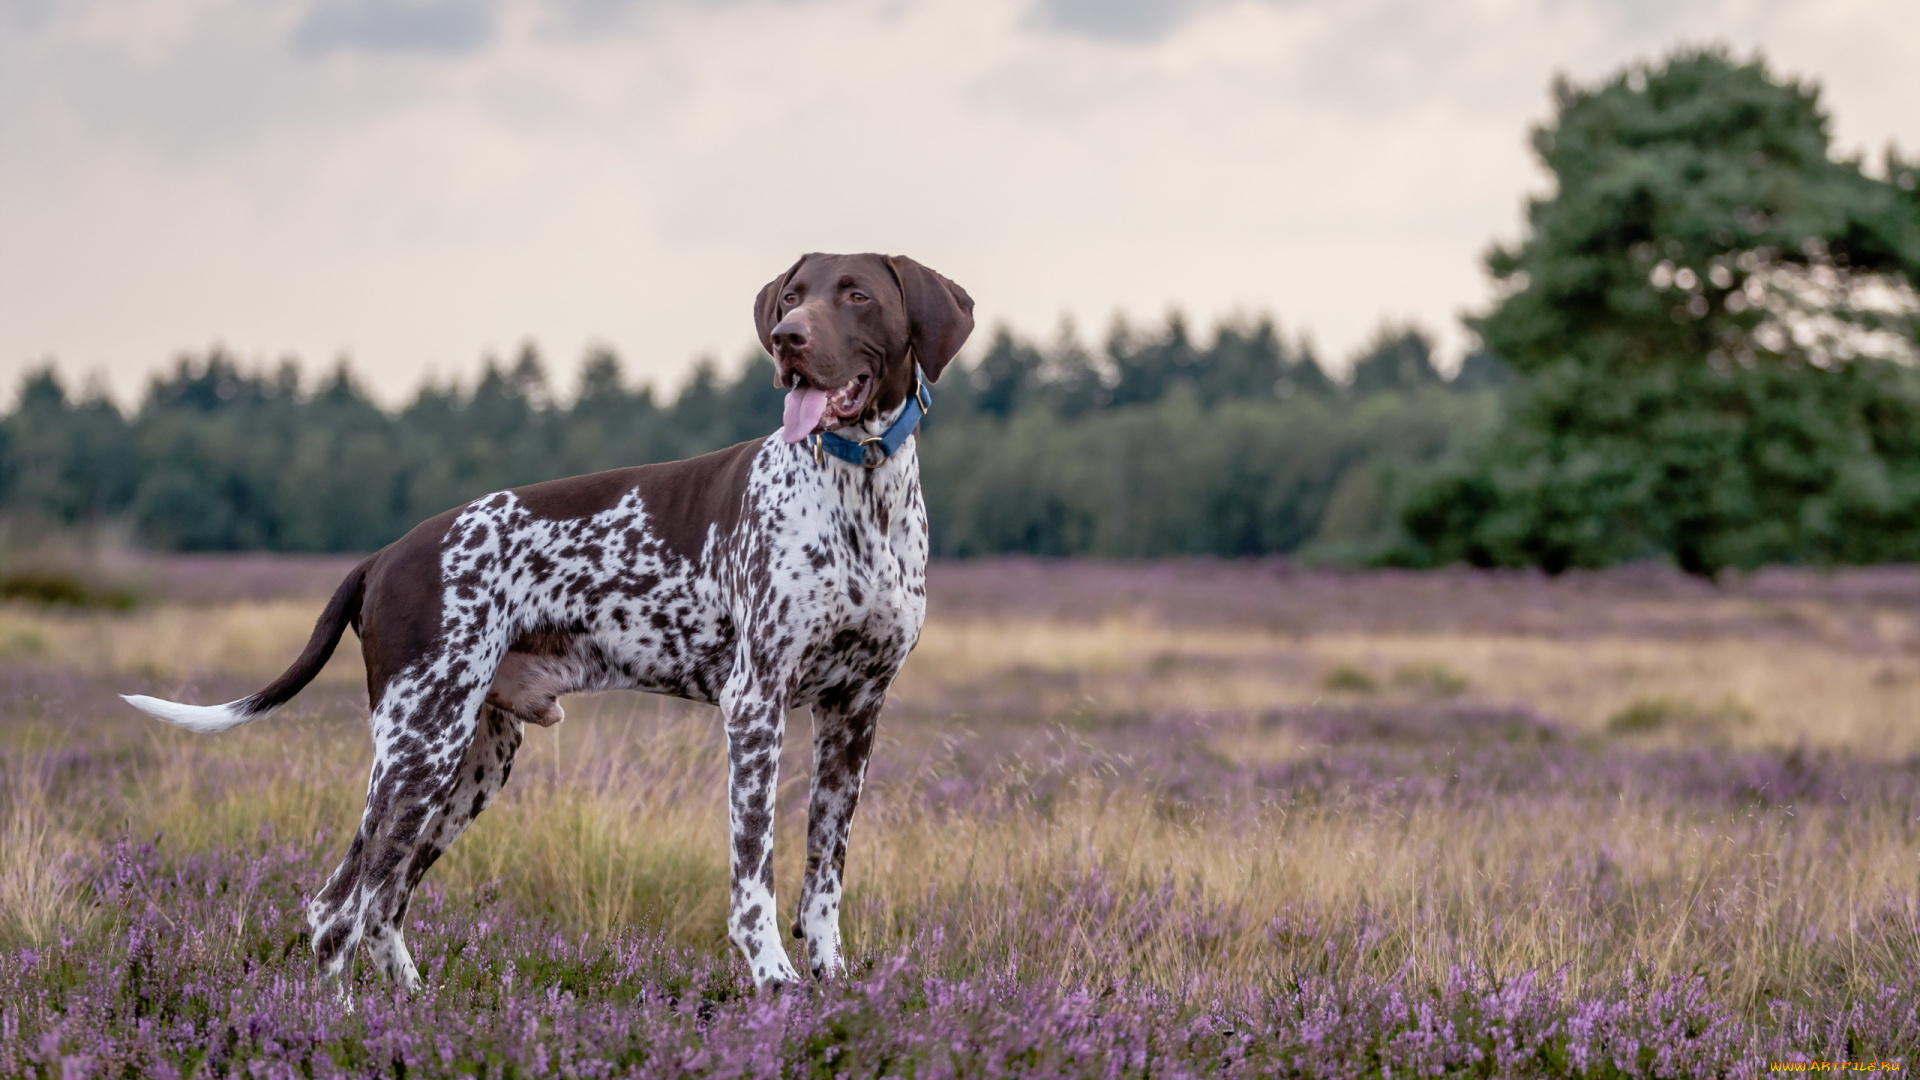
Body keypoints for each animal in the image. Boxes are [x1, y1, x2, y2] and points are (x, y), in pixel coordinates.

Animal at [123, 249, 975, 983]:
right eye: (794, 295)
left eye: (857, 294)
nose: (787, 338)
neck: (860, 492)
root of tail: (386, 556)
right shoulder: (755, 706)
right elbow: (754, 878)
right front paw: (774, 981)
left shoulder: (854, 714)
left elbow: (824, 876)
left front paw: (834, 984)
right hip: (418, 749)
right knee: (339, 908)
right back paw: (337, 1025)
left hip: (471, 762)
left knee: (381, 903)